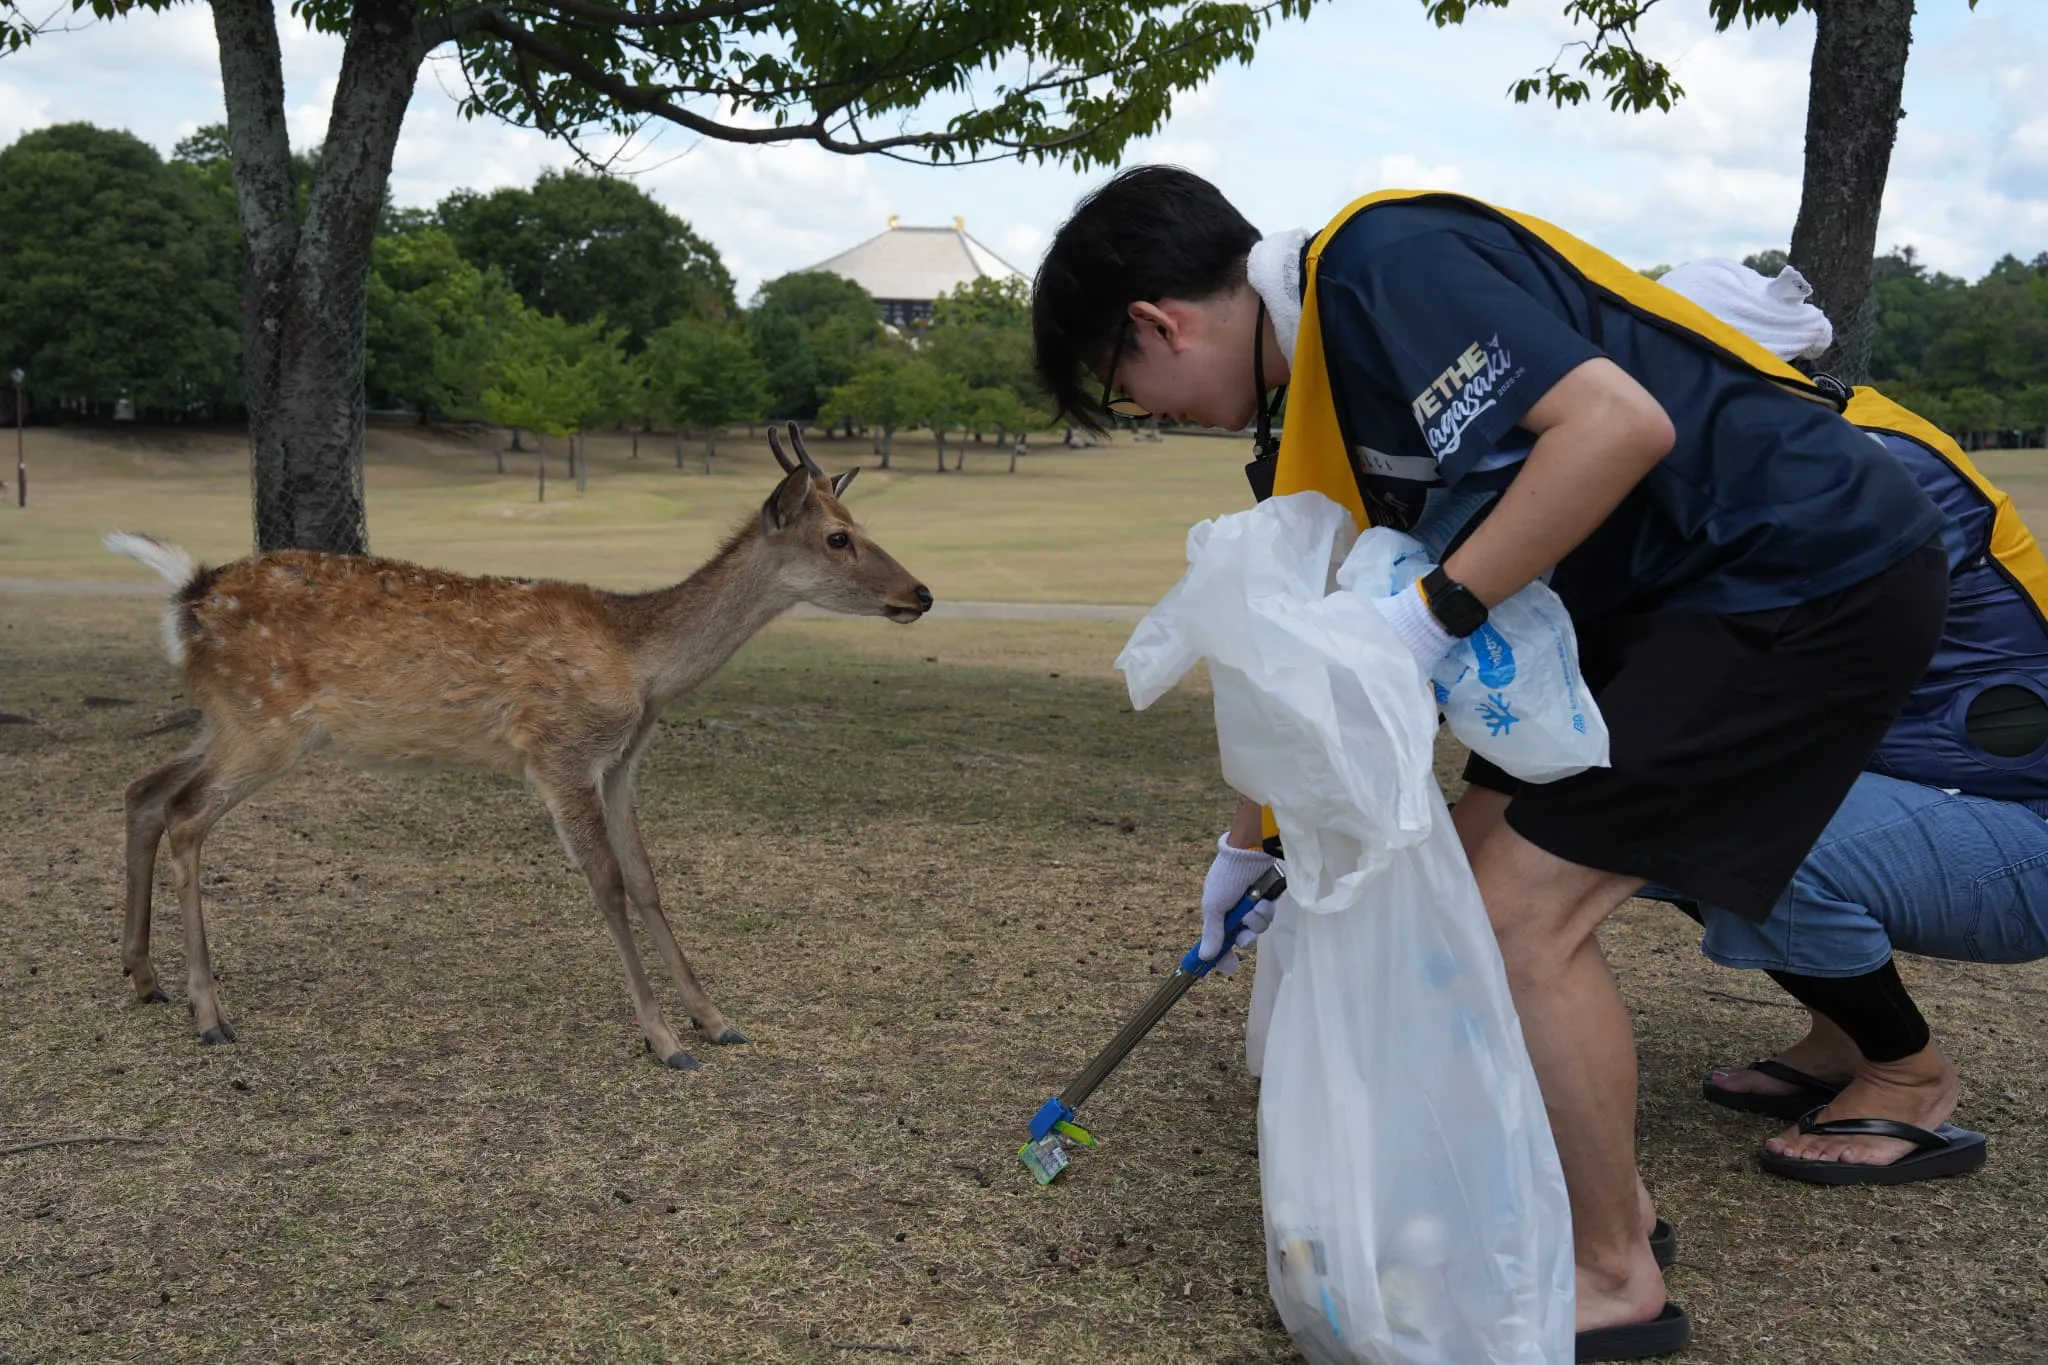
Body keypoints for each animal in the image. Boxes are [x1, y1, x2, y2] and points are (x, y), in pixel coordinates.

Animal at [107, 423, 930, 1070]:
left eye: (858, 522)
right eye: (838, 536)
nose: (919, 593)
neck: (642, 667)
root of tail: (187, 595)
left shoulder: (623, 760)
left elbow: (648, 880)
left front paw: (716, 1018)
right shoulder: (559, 751)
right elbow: (607, 883)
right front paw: (665, 1039)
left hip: (226, 720)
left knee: (144, 789)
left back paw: (145, 978)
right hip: (264, 722)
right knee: (186, 816)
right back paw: (210, 1014)